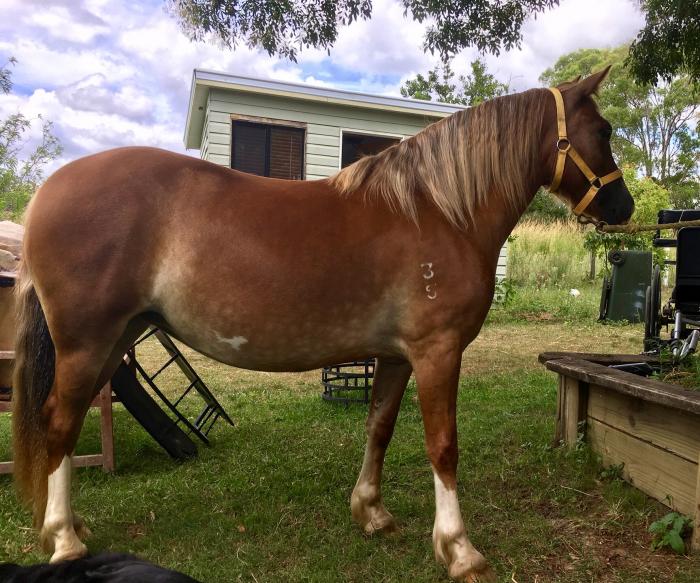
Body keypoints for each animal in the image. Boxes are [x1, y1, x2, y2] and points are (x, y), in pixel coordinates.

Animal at [12, 67, 633, 582]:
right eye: (602, 130)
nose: (624, 207)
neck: (437, 211)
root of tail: (45, 194)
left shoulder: (397, 355)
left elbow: (379, 428)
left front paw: (372, 513)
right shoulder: (438, 352)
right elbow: (443, 445)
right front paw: (459, 550)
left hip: (113, 343)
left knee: (63, 422)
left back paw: (70, 527)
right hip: (87, 344)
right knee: (59, 423)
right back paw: (64, 540)